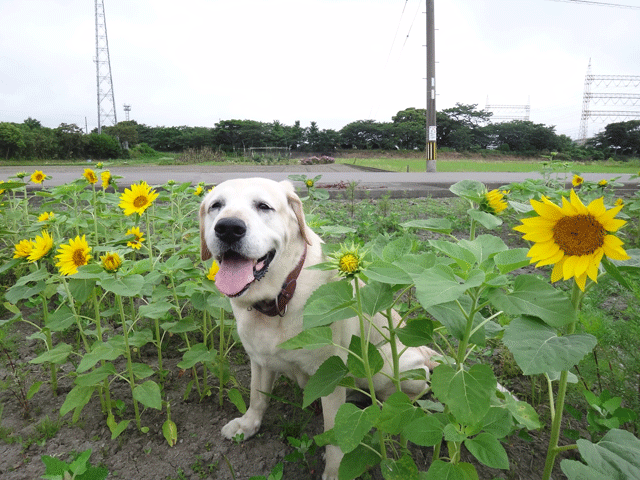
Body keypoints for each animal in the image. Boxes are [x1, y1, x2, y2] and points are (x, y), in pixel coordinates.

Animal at [200, 179, 440, 480]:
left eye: (263, 206)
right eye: (216, 206)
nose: (228, 227)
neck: (279, 299)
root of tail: (425, 350)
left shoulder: (331, 375)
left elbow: (335, 433)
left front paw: (336, 470)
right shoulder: (259, 360)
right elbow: (257, 397)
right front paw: (248, 425)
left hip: (386, 367)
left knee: (413, 393)